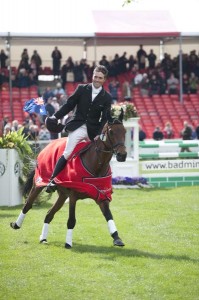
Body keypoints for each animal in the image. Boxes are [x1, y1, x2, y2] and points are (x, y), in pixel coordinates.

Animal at [10, 110, 126, 248]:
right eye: (111, 132)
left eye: (125, 131)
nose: (122, 155)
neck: (97, 164)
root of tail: (48, 146)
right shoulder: (73, 196)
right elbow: (71, 220)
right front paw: (68, 243)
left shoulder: (101, 195)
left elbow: (108, 215)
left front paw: (117, 238)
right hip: (39, 184)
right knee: (28, 205)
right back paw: (16, 224)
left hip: (62, 195)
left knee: (49, 214)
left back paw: (43, 238)